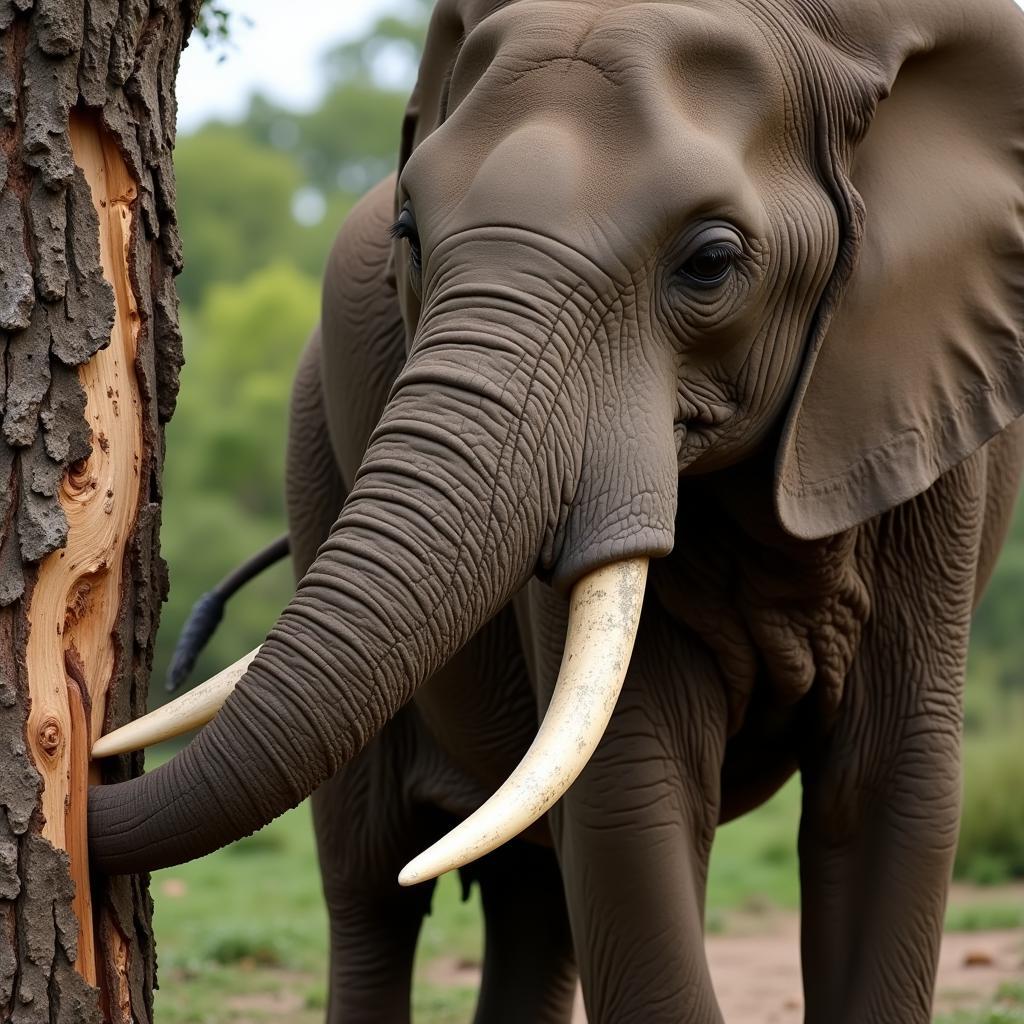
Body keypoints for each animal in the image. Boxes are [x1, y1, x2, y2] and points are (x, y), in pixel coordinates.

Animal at [90, 0, 1024, 1019]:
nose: (84, 767)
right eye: (411, 232)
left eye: (711, 263)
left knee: (528, 893)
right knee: (375, 888)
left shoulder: (928, 435)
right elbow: (631, 803)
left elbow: (895, 794)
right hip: (313, 444)